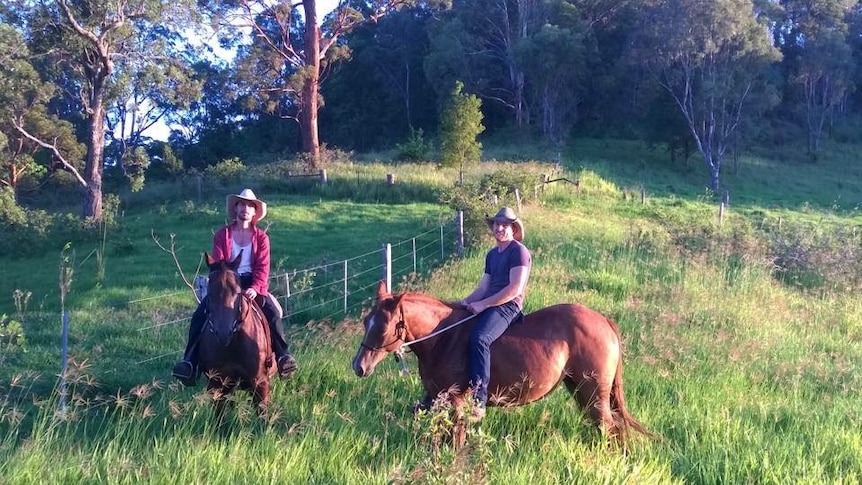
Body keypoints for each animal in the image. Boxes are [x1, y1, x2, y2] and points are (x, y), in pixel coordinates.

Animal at [198, 251, 274, 418]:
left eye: (237, 292)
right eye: (210, 292)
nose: (223, 333)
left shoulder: (260, 383)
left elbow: (262, 416)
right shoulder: (217, 383)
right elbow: (219, 418)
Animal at [352, 280, 656, 442]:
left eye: (383, 327)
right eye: (367, 321)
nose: (359, 366)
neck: (443, 336)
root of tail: (604, 321)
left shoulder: (456, 400)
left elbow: (456, 435)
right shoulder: (434, 396)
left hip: (594, 393)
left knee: (610, 428)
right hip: (582, 391)